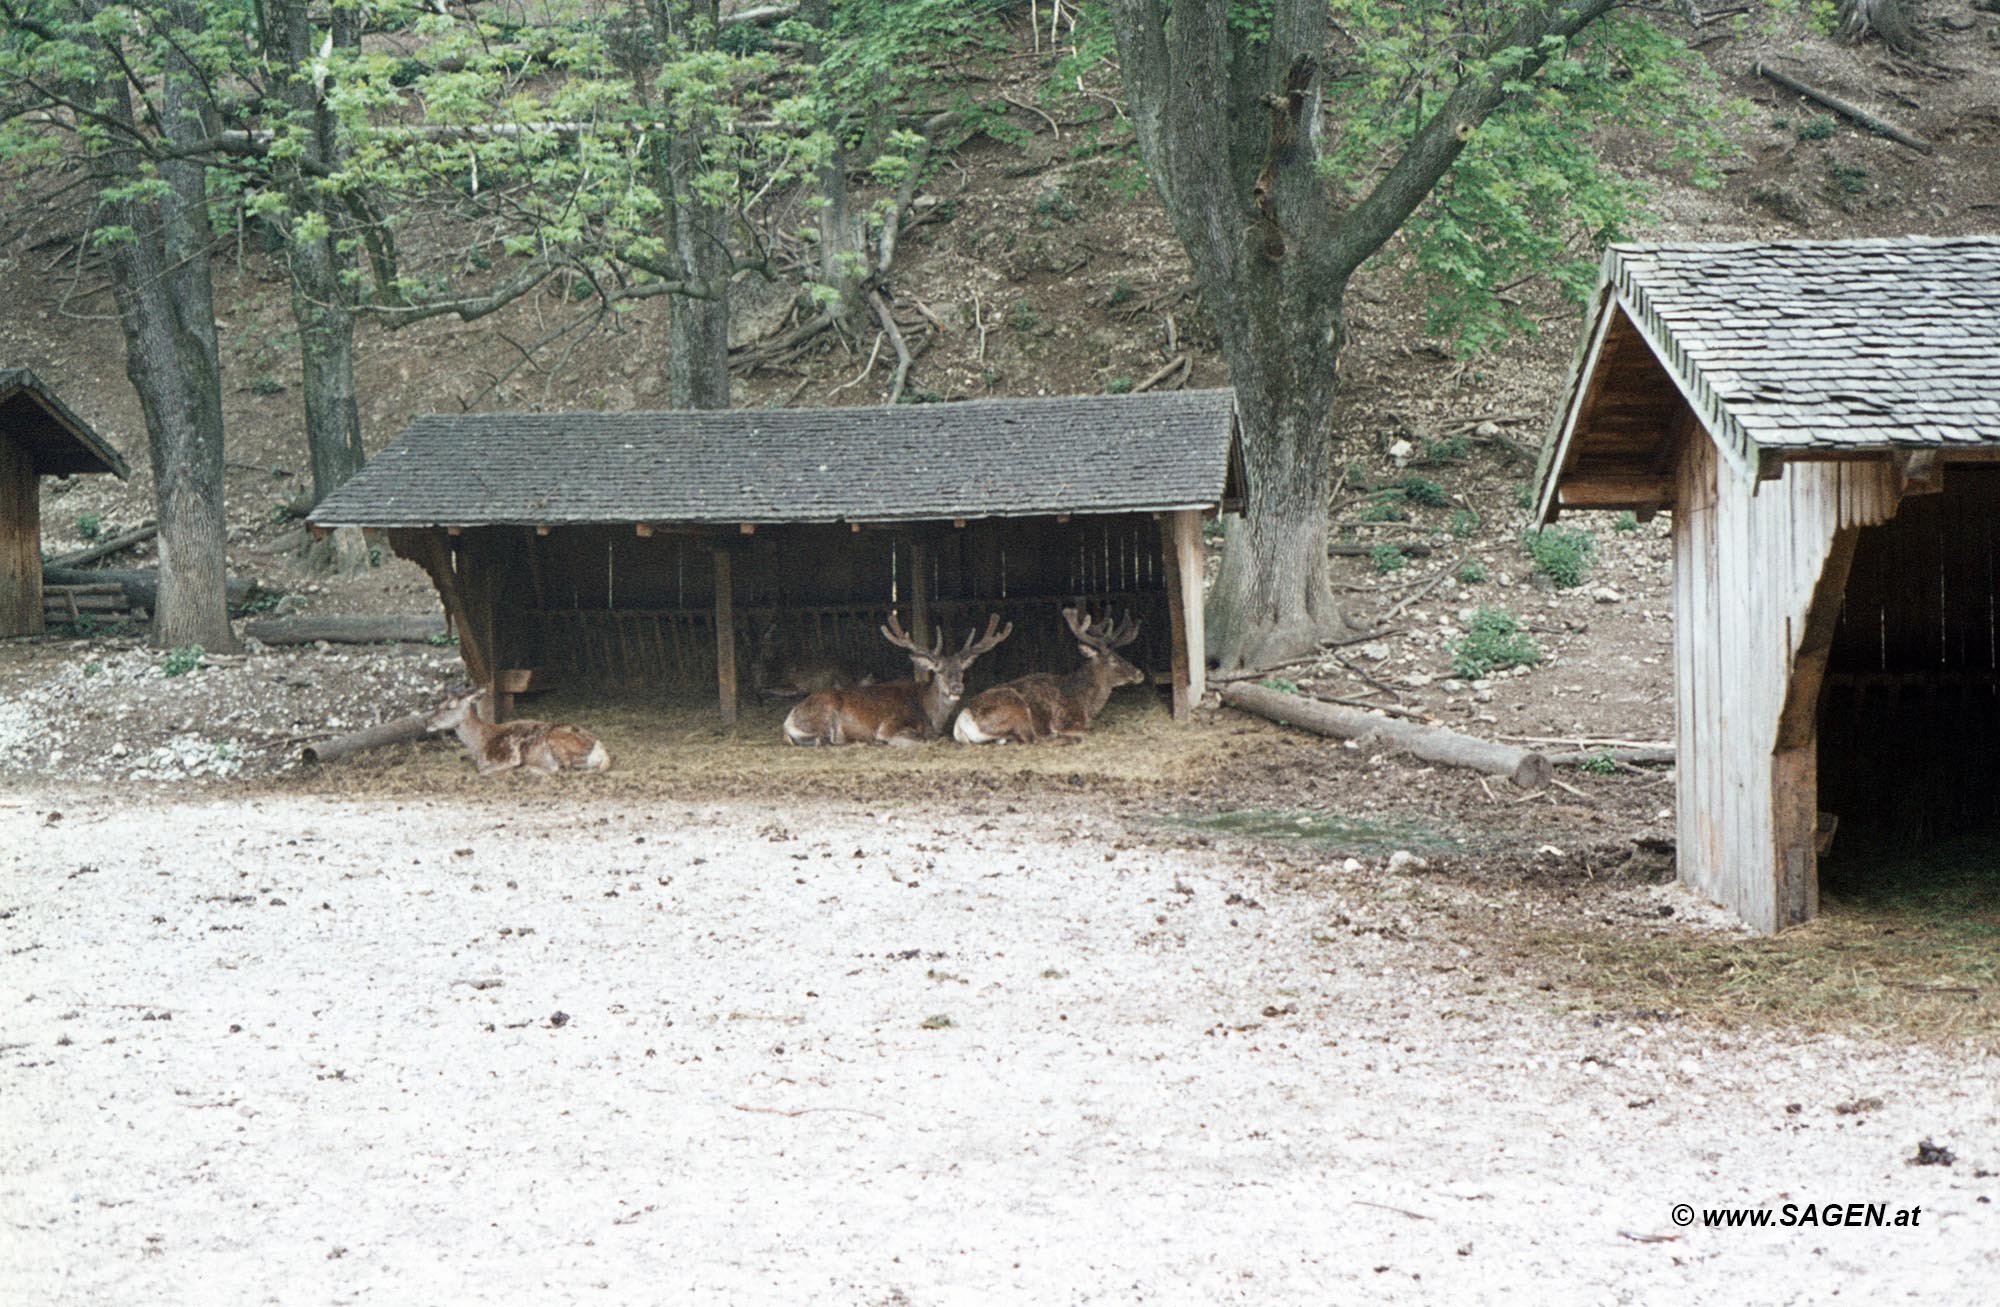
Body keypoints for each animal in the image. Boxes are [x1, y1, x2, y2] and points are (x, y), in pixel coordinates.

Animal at [422, 687, 608, 779]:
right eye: (439, 704)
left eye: (449, 706)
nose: (427, 722)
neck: (480, 744)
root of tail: (601, 750)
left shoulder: (510, 756)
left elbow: (482, 771)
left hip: (557, 742)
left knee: (562, 769)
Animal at [784, 615, 1016, 747]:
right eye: (939, 671)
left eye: (962, 670)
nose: (956, 687)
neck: (930, 715)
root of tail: (789, 719)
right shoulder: (889, 725)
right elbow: (924, 739)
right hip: (825, 710)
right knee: (824, 739)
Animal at [948, 607, 1144, 747]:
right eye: (1113, 659)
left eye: (1121, 655)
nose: (1139, 674)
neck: (1086, 703)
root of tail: (962, 722)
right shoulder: (1064, 719)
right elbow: (1091, 730)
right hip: (1016, 709)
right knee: (1033, 740)